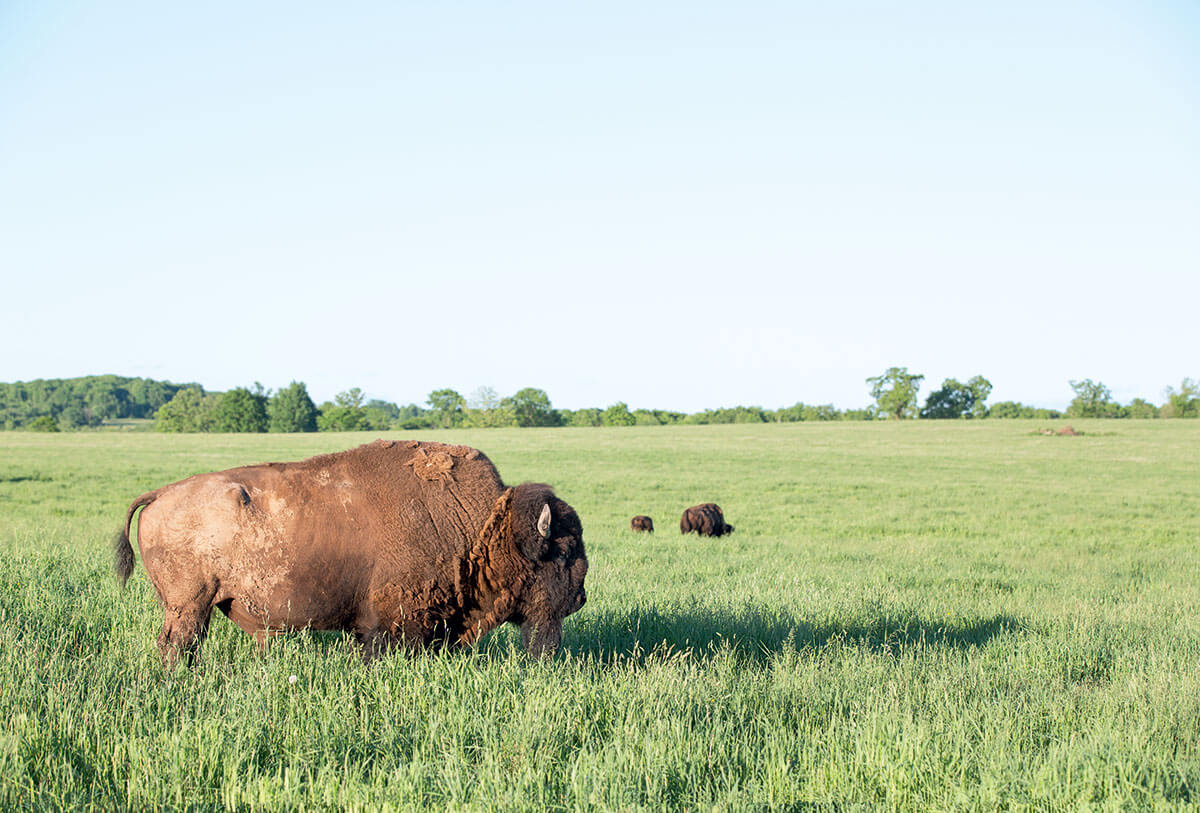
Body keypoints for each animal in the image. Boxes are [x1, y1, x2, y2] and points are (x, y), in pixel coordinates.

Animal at [113, 439, 587, 666]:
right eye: (563, 552)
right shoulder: (392, 624)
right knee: (178, 645)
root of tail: (161, 494)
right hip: (189, 605)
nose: (580, 598)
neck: (482, 527)